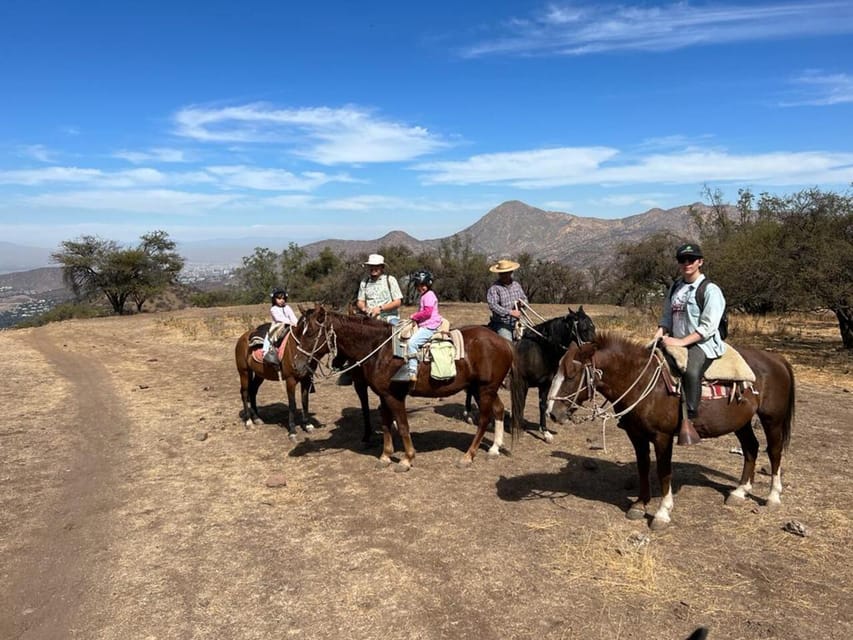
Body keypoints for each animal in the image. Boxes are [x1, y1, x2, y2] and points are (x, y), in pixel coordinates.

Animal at [296, 304, 512, 470]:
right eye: (299, 332)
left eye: (312, 333)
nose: (298, 366)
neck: (379, 349)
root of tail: (503, 342)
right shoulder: (383, 395)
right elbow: (385, 424)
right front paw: (385, 456)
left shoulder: (395, 396)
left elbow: (402, 426)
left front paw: (407, 459)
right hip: (481, 388)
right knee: (499, 409)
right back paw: (494, 448)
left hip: (485, 389)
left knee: (484, 419)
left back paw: (468, 456)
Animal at [544, 332, 796, 528]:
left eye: (572, 375)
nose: (552, 413)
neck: (643, 381)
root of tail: (776, 359)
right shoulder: (636, 435)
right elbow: (643, 468)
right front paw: (639, 504)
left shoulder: (662, 437)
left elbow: (663, 472)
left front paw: (662, 513)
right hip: (740, 422)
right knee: (751, 448)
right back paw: (739, 492)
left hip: (772, 419)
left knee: (774, 452)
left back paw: (773, 497)